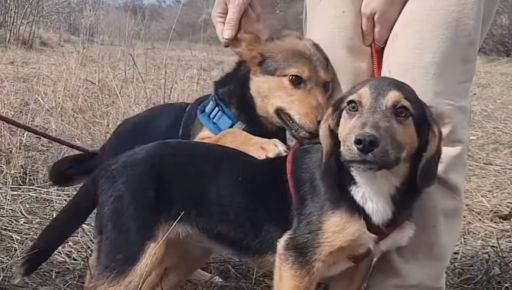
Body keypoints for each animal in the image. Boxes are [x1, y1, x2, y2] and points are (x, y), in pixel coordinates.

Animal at [16, 18, 336, 278]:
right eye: (295, 79)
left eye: (327, 86)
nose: (325, 126)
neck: (252, 117)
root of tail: (111, 141)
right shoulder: (202, 140)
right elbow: (229, 133)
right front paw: (261, 145)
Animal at [18, 77, 438, 290]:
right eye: (351, 106)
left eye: (402, 112)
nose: (363, 143)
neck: (365, 185)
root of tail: (113, 161)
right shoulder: (296, 261)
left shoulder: (354, 269)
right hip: (129, 255)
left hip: (178, 252)